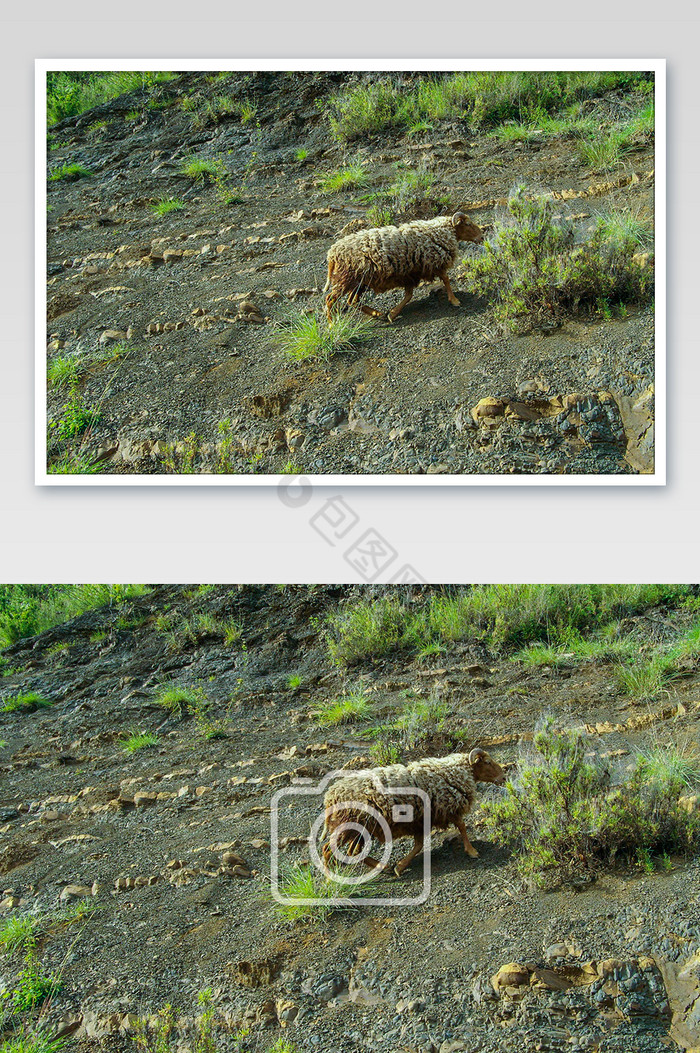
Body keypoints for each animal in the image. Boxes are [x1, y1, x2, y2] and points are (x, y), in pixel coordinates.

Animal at [320, 749, 505, 880]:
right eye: (487, 762)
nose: (503, 777)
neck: (451, 773)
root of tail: (329, 797)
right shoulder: (447, 809)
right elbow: (462, 826)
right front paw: (472, 851)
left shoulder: (421, 820)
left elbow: (419, 845)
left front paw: (399, 866)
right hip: (348, 827)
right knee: (327, 850)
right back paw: (330, 880)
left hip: (362, 828)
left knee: (354, 851)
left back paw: (384, 867)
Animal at [322, 214, 480, 324]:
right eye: (468, 224)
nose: (482, 235)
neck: (439, 232)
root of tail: (332, 253)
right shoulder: (434, 264)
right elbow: (446, 280)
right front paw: (454, 300)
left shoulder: (410, 274)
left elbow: (409, 295)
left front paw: (392, 313)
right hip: (346, 279)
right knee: (330, 300)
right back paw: (331, 324)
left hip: (359, 281)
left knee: (352, 301)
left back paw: (377, 314)